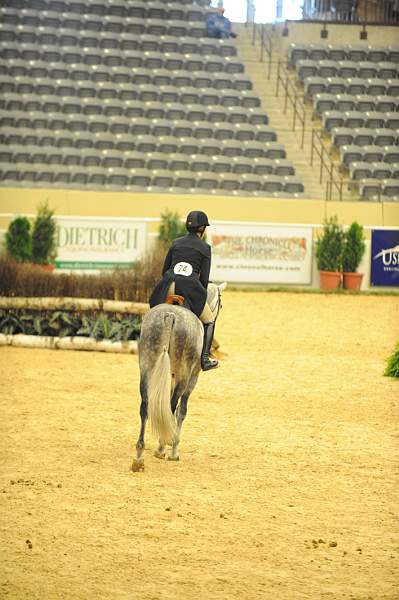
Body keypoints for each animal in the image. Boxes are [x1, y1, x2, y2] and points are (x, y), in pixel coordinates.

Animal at [131, 282, 225, 474]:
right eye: (220, 304)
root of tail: (171, 316)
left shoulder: (170, 376)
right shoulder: (192, 379)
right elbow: (181, 412)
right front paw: (173, 449)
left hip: (147, 369)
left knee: (145, 407)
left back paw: (139, 456)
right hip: (184, 375)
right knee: (172, 406)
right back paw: (161, 448)